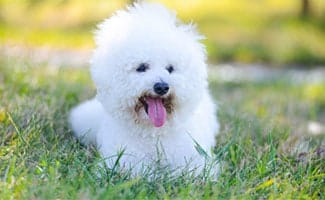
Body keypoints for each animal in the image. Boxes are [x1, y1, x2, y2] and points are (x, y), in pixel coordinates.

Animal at [69, 2, 219, 175]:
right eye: (141, 67)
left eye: (170, 68)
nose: (162, 87)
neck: (153, 132)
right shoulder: (124, 161)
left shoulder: (194, 161)